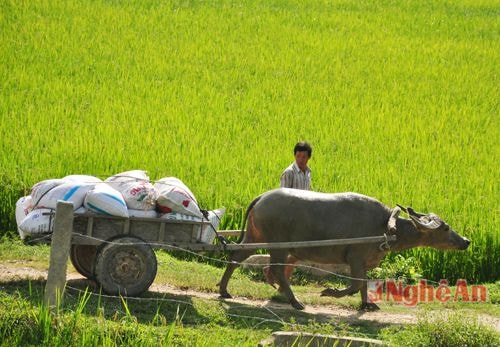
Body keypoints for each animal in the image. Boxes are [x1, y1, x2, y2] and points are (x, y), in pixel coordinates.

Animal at [218, 189, 468, 312]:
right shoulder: (355, 257)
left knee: (236, 256)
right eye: (445, 228)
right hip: (277, 244)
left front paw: (367, 305)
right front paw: (329, 292)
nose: (466, 241)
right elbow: (356, 284)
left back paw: (224, 291)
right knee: (277, 269)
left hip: (254, 236)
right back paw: (296, 302)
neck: (387, 226)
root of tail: (262, 197)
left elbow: (364, 284)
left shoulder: (364, 260)